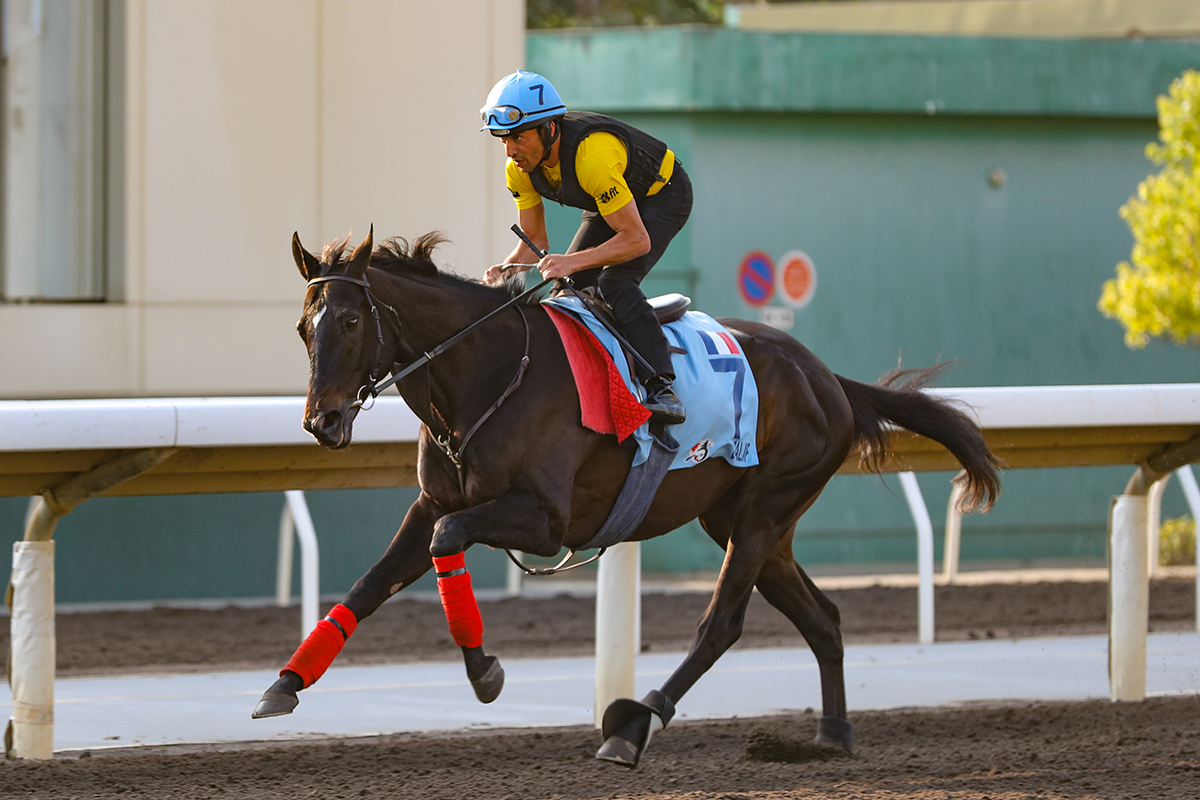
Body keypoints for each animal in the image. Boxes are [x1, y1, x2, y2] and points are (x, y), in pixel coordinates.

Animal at [255, 227, 1003, 767]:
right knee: (823, 619)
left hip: (765, 509)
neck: (484, 377)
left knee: (721, 626)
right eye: (303, 327)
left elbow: (449, 544)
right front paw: (284, 683)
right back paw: (832, 735)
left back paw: (632, 727)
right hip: (745, 519)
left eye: (351, 323)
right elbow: (368, 584)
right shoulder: (431, 505)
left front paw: (483, 669)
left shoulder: (545, 520)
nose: (321, 422)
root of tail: (828, 378)